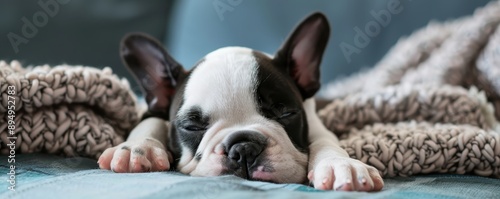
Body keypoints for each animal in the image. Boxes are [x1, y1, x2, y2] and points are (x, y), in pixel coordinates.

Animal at [97, 12, 382, 191]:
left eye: (286, 113)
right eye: (191, 127)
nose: (244, 147)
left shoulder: (315, 121)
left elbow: (324, 141)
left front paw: (341, 165)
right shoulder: (152, 110)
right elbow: (150, 121)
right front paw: (137, 148)